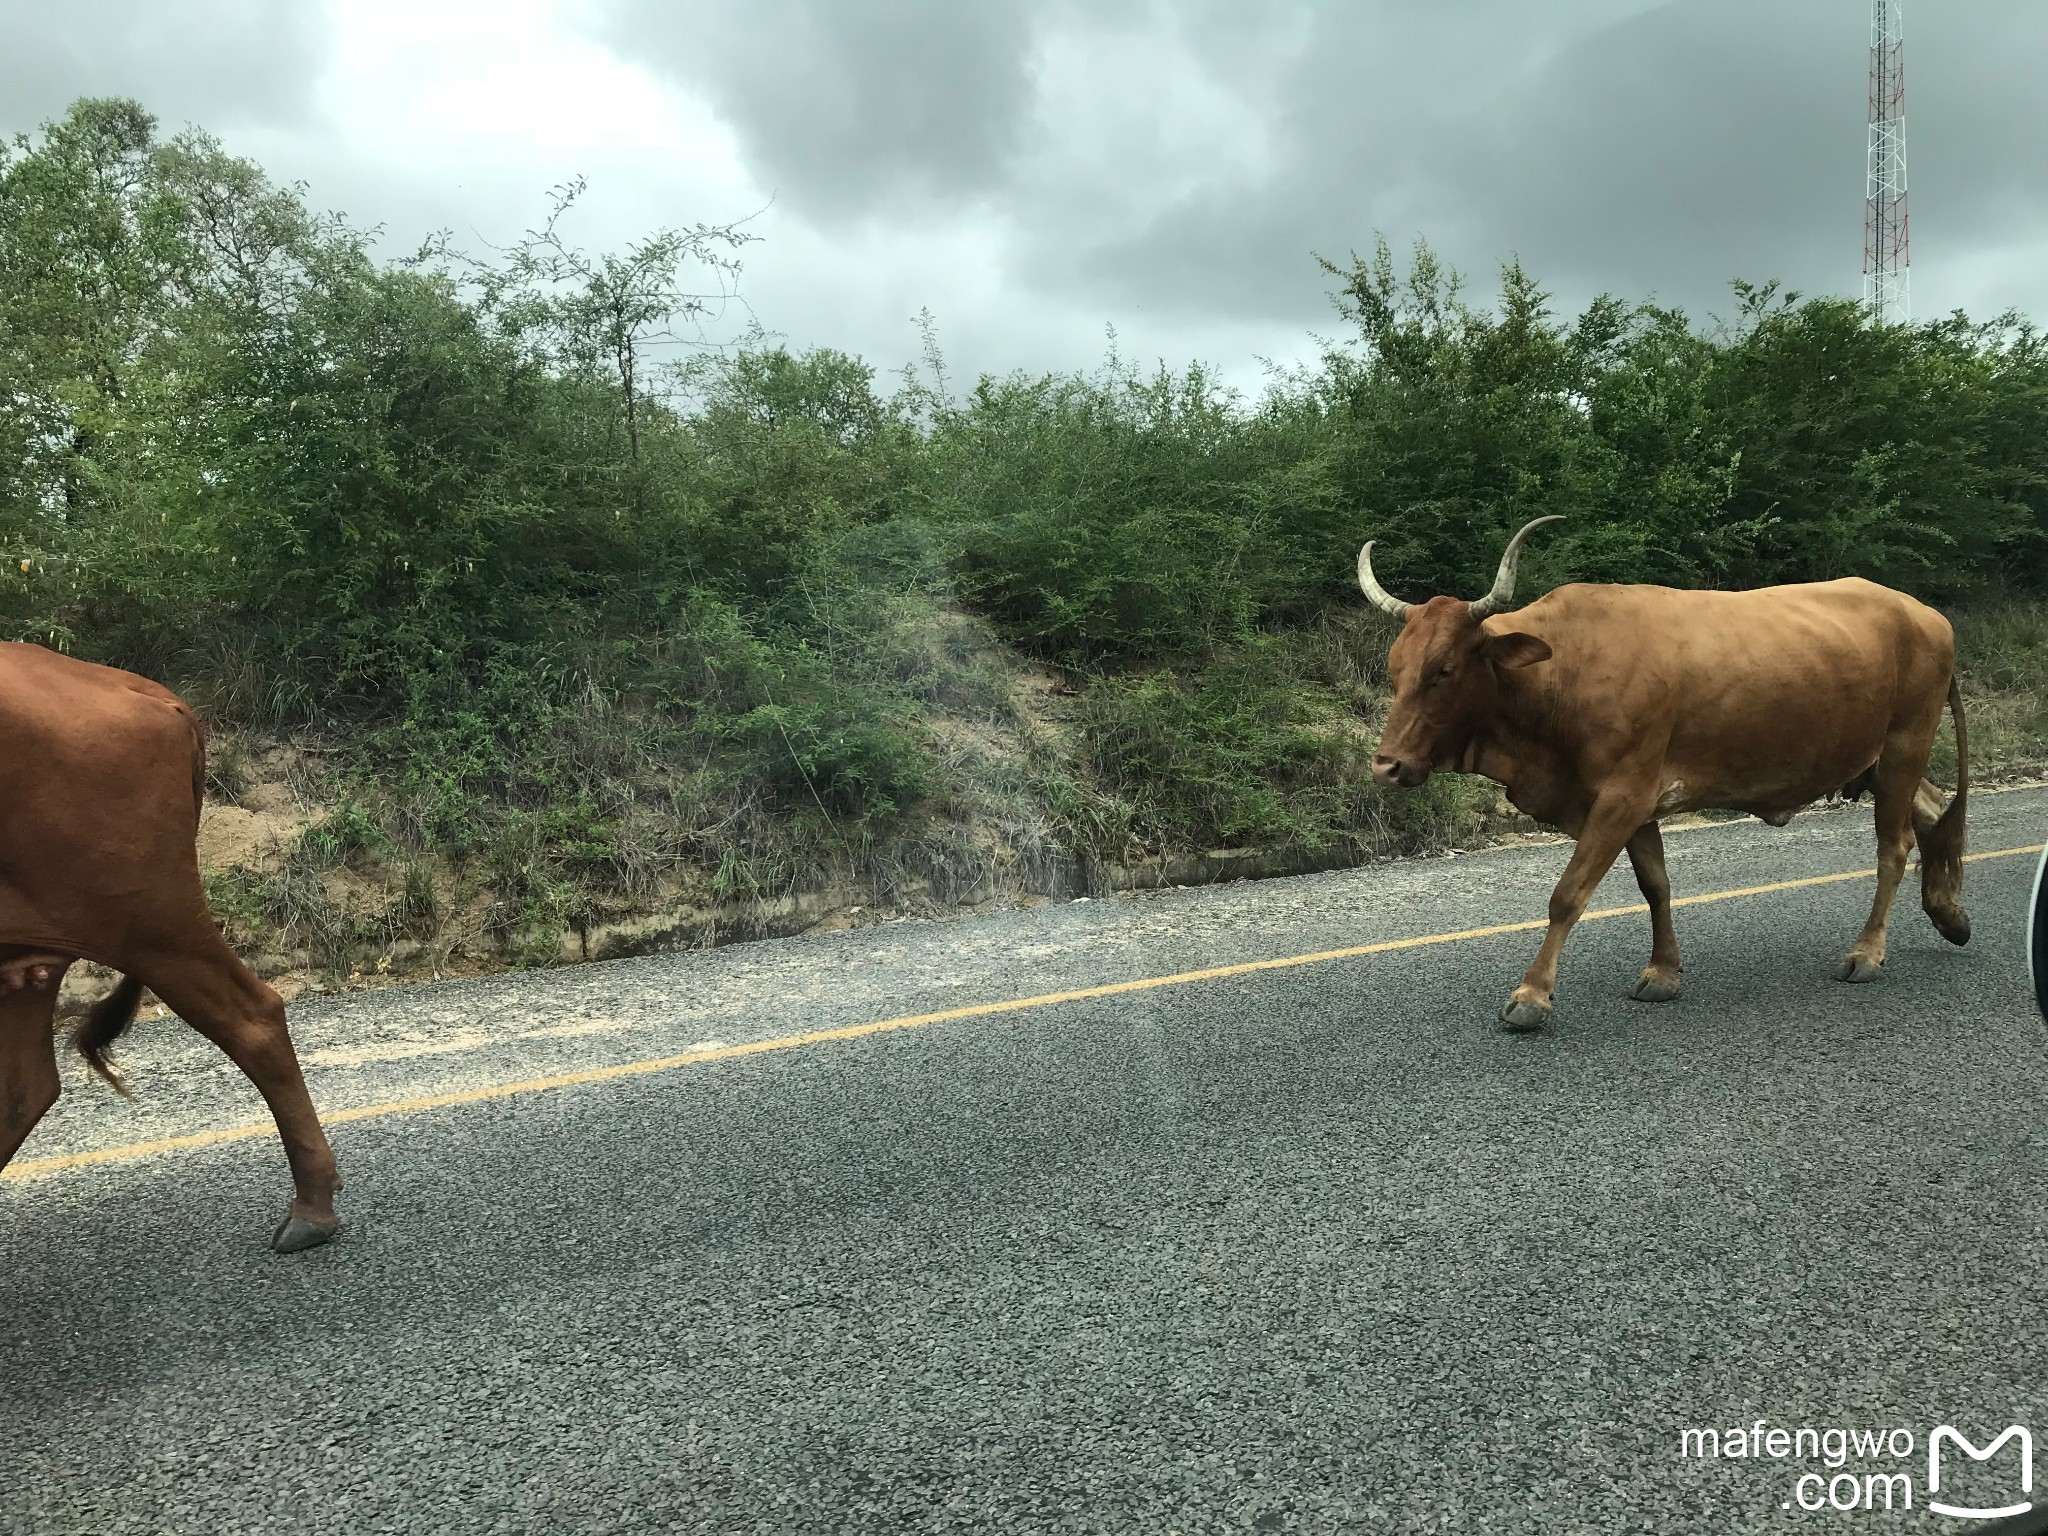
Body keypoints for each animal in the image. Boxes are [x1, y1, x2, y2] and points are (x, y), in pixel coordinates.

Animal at [1359, 520, 1966, 1036]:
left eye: (1444, 670)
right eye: (1394, 668)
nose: (1386, 765)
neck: (1561, 676)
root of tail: (1925, 614)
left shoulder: (1623, 795)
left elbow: (1568, 894)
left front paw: (1531, 996)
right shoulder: (1633, 803)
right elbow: (1656, 885)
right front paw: (1664, 972)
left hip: (1904, 746)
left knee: (1894, 846)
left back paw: (1867, 954)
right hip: (1876, 763)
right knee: (1935, 809)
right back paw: (1949, 913)